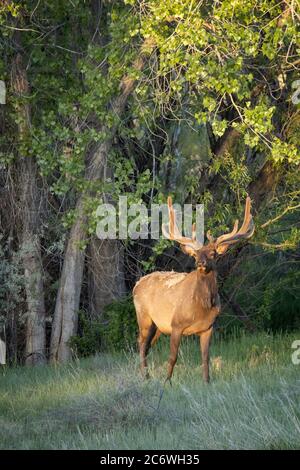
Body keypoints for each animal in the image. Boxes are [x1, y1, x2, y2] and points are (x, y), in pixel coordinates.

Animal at [132, 195, 254, 382]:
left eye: (213, 254)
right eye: (195, 254)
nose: (200, 263)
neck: (201, 306)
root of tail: (136, 285)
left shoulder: (208, 328)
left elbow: (205, 357)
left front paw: (207, 381)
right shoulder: (176, 324)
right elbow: (172, 357)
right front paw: (167, 382)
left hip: (158, 326)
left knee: (147, 346)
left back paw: (146, 375)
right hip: (144, 317)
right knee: (141, 343)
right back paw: (145, 376)